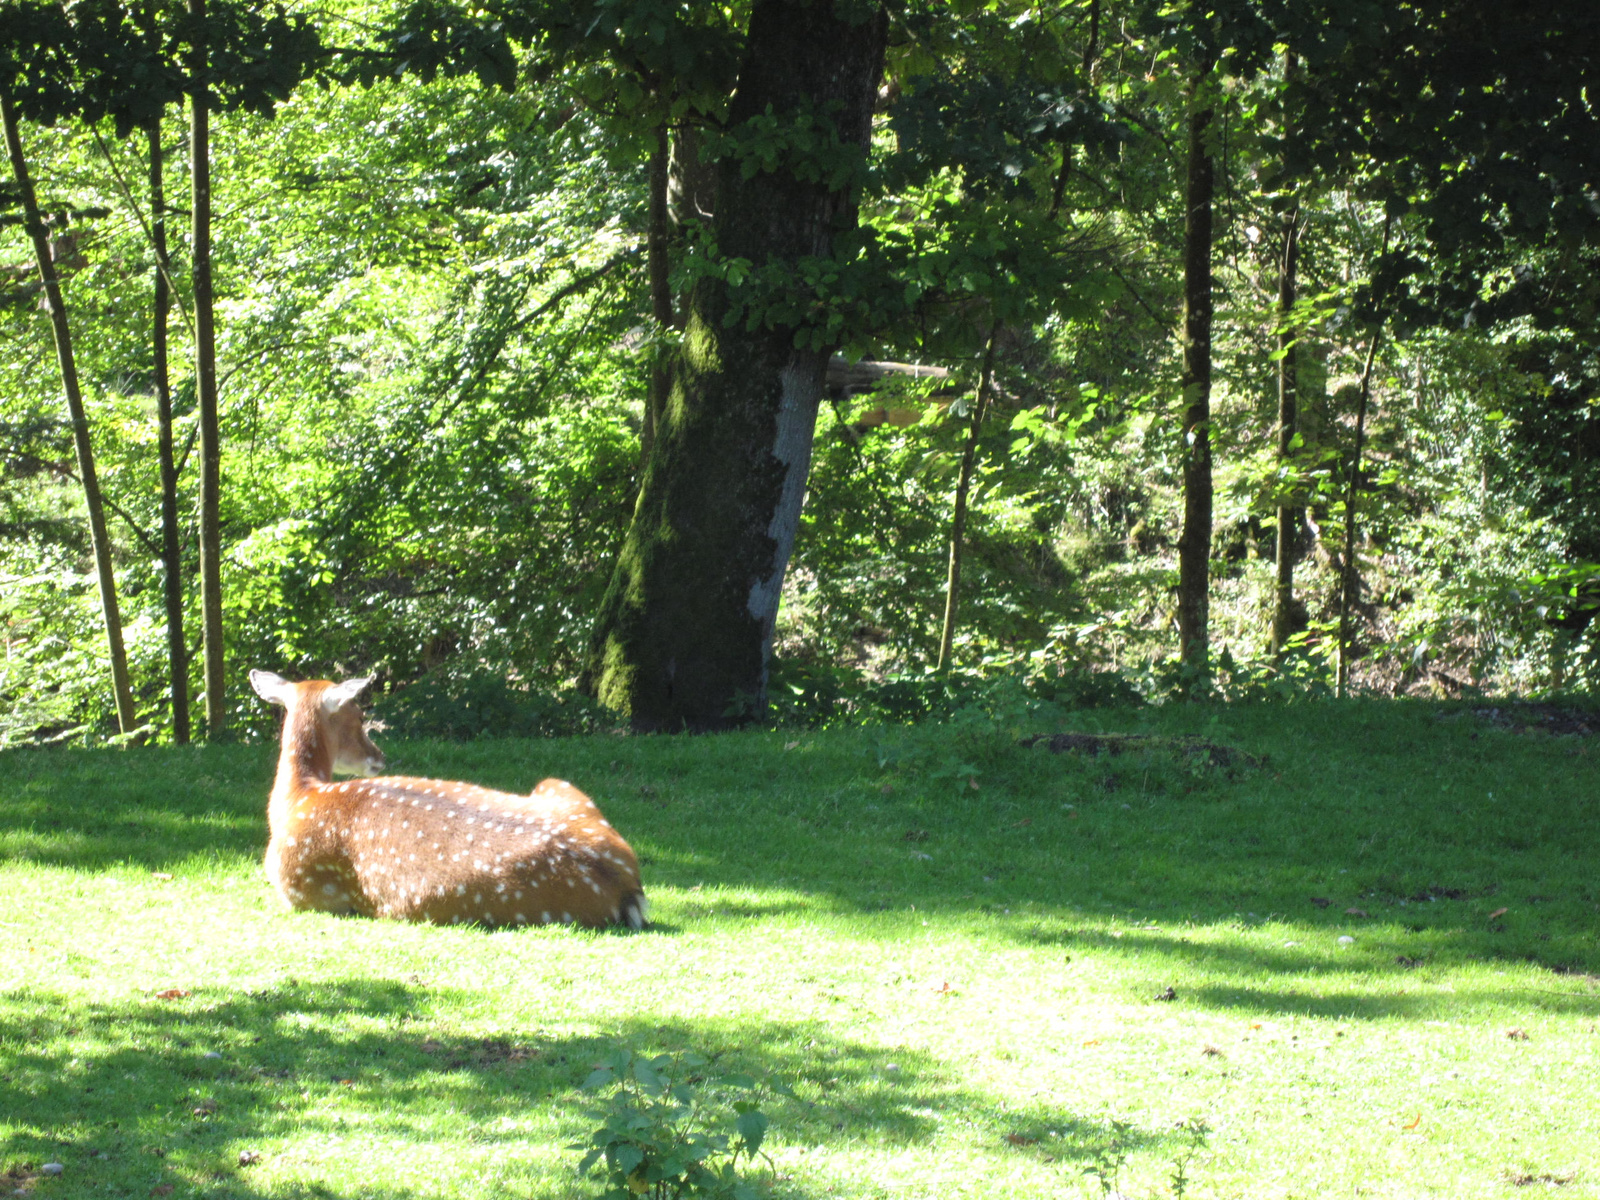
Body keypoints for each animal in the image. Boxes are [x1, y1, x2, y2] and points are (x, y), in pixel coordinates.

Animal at [249, 672, 649, 934]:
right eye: (359, 715)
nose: (378, 756)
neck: (300, 797)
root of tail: (625, 884)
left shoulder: (299, 890)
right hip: (556, 785)